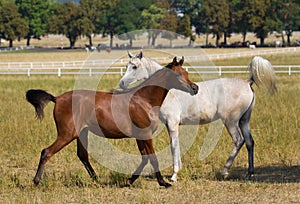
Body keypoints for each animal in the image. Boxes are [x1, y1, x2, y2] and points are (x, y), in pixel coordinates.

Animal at [26, 56, 199, 187]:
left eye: (186, 72)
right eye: (178, 75)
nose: (195, 88)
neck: (143, 100)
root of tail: (57, 98)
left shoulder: (139, 136)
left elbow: (145, 158)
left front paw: (129, 180)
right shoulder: (145, 133)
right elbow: (153, 158)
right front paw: (163, 182)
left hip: (81, 133)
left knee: (82, 156)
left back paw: (96, 180)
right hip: (67, 134)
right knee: (47, 152)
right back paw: (36, 181)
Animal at [118, 51, 276, 182]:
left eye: (135, 67)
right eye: (127, 65)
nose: (122, 84)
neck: (168, 90)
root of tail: (247, 82)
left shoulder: (172, 123)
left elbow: (173, 147)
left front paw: (174, 175)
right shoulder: (174, 125)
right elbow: (177, 146)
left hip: (231, 122)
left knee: (239, 141)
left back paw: (225, 171)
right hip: (244, 121)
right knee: (249, 142)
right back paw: (249, 174)